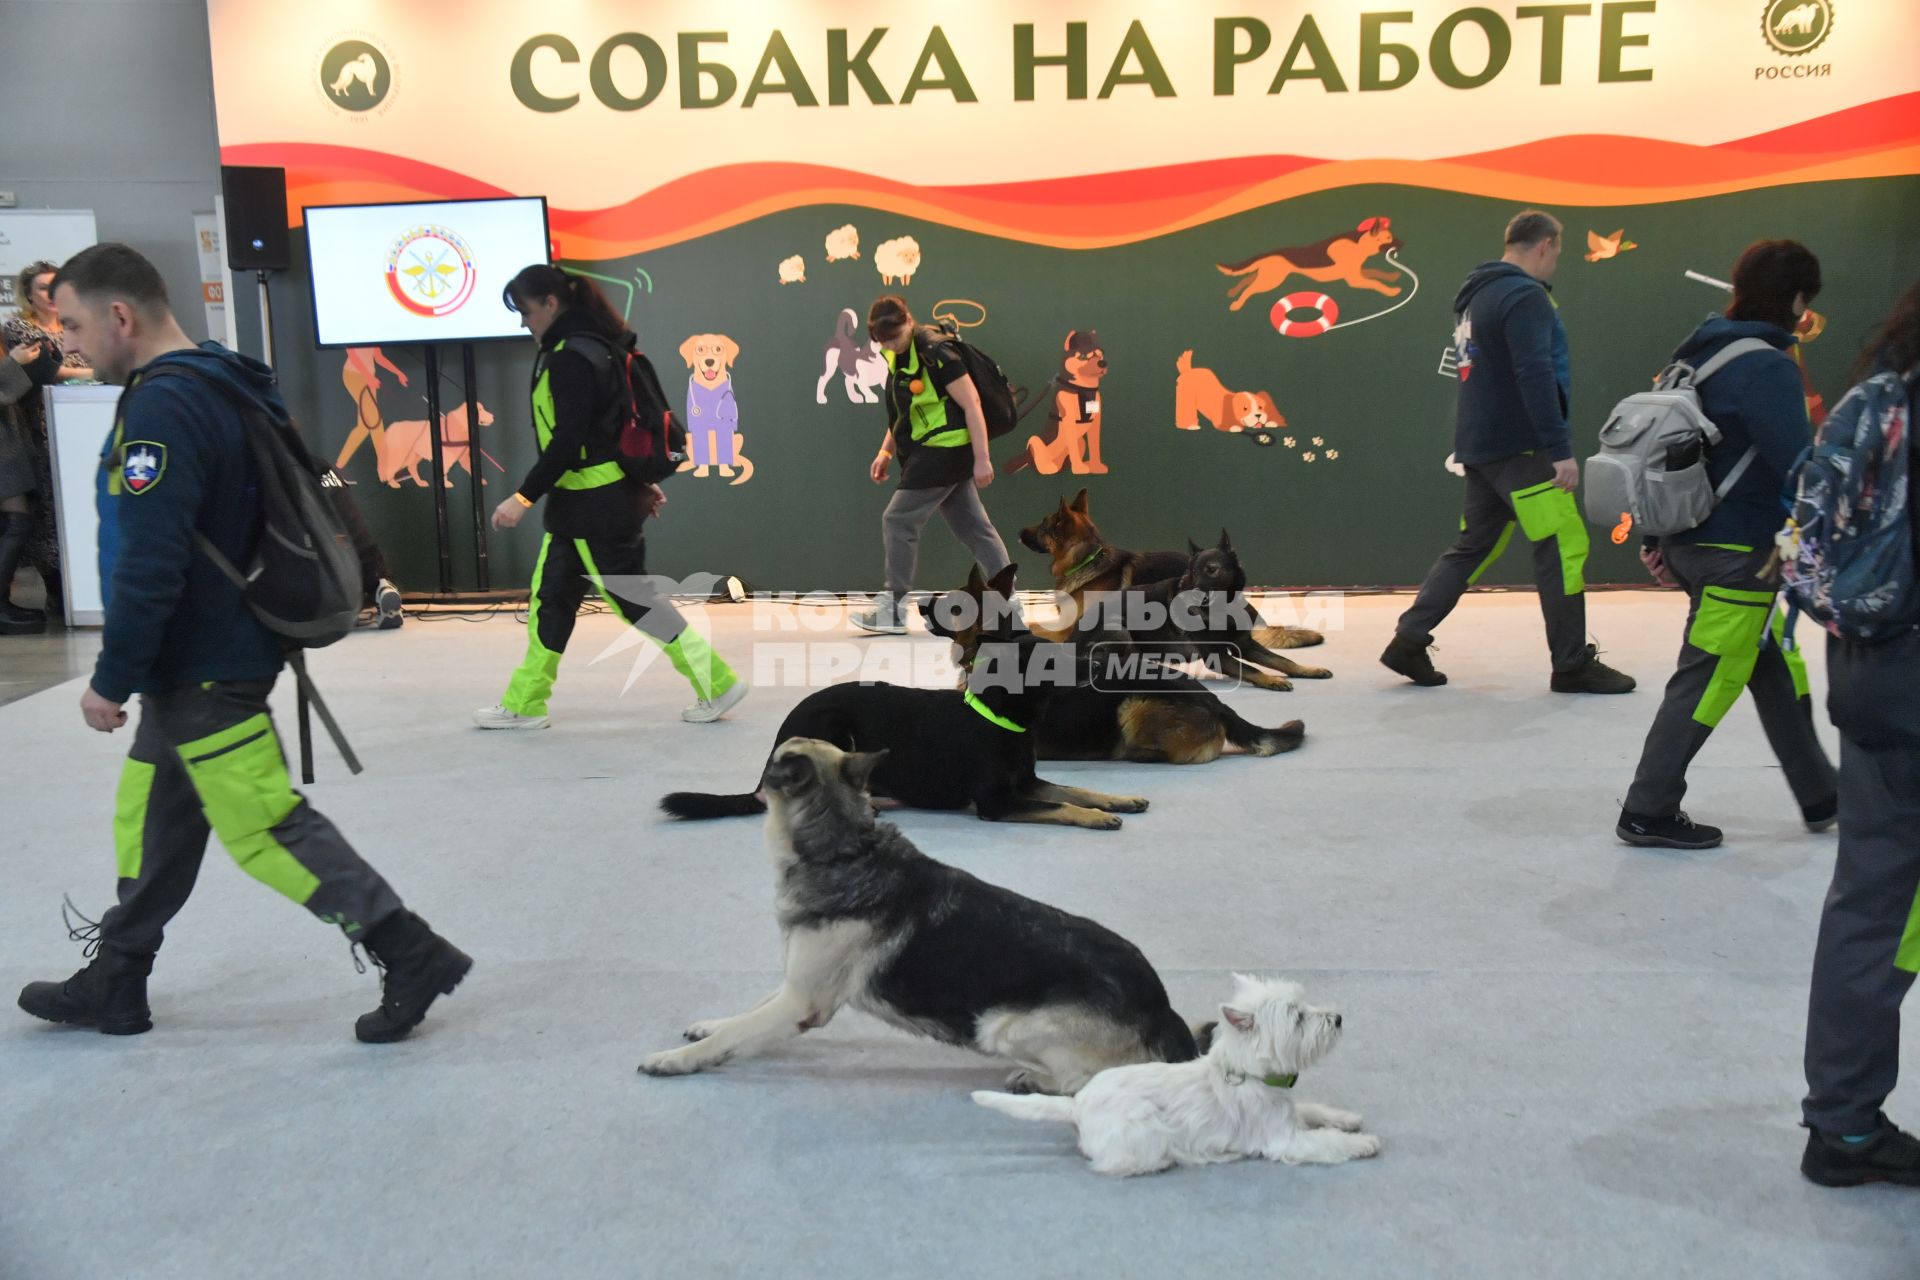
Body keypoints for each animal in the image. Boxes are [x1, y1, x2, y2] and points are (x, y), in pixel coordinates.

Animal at [1029, 487, 1328, 690]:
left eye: (1211, 569)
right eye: (1190, 572)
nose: (1022, 533)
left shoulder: (1247, 645)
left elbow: (1282, 661)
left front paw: (1307, 670)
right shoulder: (1219, 656)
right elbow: (1251, 670)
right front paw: (1271, 680)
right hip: (1120, 629)